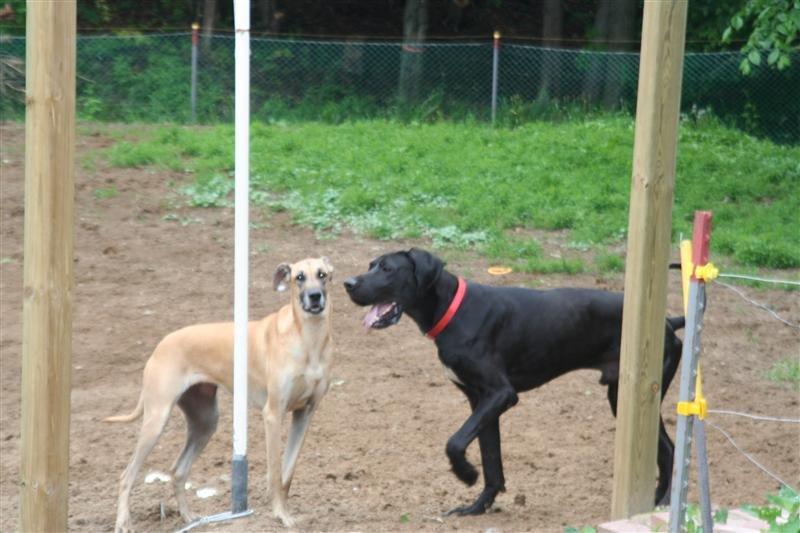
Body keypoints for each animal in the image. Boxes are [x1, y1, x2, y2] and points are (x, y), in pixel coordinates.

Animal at [105, 257, 334, 532]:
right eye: (299, 277)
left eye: (322, 275)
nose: (315, 296)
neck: (308, 338)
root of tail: (161, 345)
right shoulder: (273, 414)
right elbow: (276, 472)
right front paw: (280, 515)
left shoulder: (304, 413)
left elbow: (287, 473)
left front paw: (284, 513)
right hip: (156, 420)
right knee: (126, 475)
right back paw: (123, 522)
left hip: (205, 422)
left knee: (178, 470)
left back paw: (189, 517)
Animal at [343, 248, 683, 516]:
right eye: (371, 264)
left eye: (387, 268)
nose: (348, 284)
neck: (453, 310)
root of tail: (668, 321)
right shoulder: (480, 401)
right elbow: (491, 458)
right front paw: (477, 507)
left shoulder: (500, 394)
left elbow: (455, 442)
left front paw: (466, 475)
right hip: (621, 395)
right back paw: (654, 502)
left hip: (639, 394)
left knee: (670, 450)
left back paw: (665, 502)